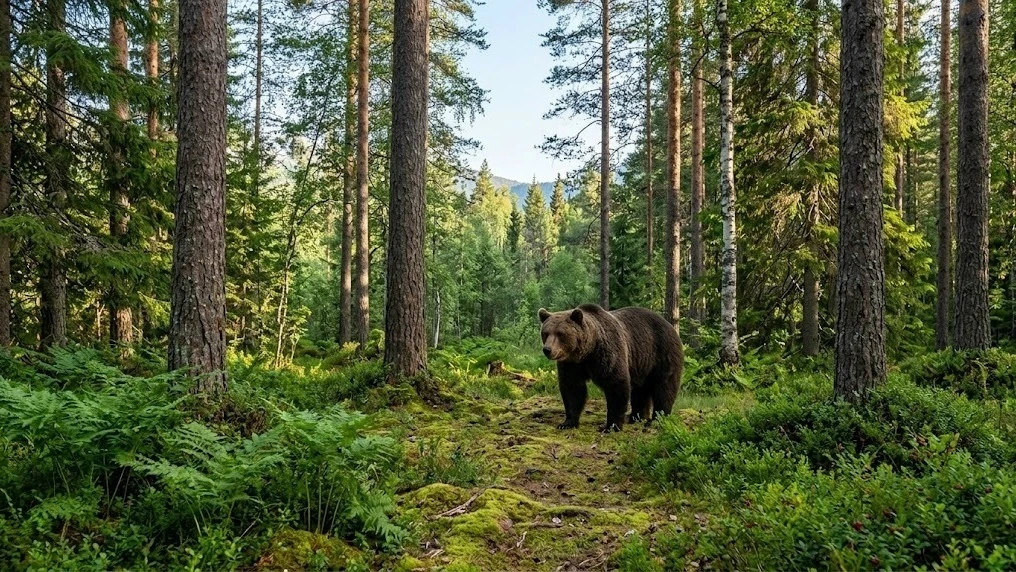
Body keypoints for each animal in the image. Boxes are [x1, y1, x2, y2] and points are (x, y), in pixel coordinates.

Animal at [538, 304, 683, 432]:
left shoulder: (608, 353)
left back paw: (657, 418)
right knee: (640, 390)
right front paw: (567, 423)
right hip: (641, 363)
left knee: (664, 386)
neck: (587, 352)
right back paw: (635, 417)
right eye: (546, 333)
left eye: (560, 334)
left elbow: (616, 385)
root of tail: (669, 325)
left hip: (662, 352)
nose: (547, 350)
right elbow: (572, 389)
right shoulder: (571, 364)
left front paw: (610, 426)